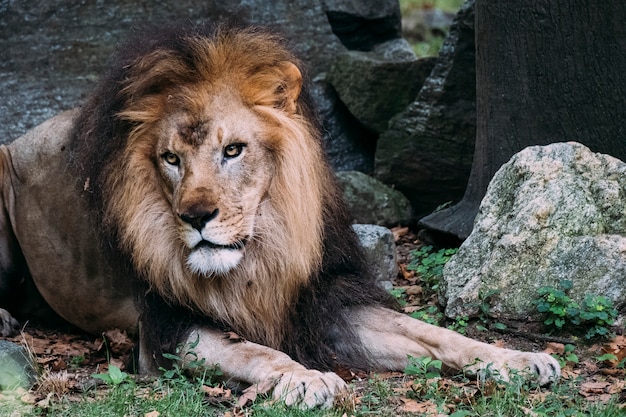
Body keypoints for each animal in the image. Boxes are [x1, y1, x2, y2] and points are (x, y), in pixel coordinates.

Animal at [0, 24, 556, 408]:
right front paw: (306, 377)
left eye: (233, 150)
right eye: (171, 159)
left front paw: (518, 359)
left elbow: (435, 334)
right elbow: (252, 350)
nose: (196, 217)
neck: (263, 250)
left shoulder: (325, 299)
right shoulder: (166, 329)